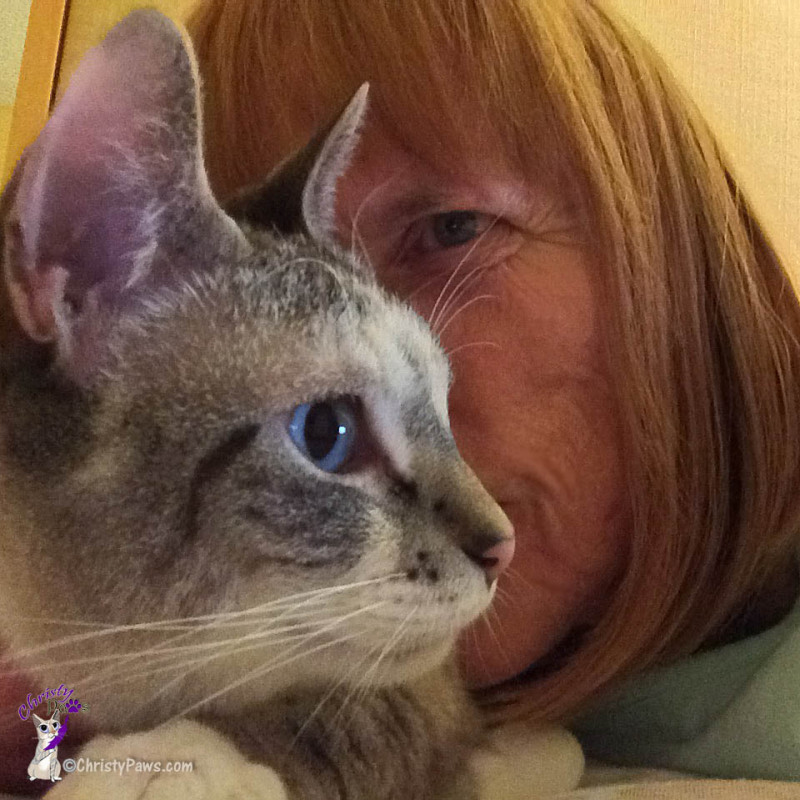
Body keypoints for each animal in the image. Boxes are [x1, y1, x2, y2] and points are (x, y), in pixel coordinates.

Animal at [0, 10, 512, 800]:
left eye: (445, 412)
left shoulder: (431, 694)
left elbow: (334, 713)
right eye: (328, 434)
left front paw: (162, 763)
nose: (505, 549)